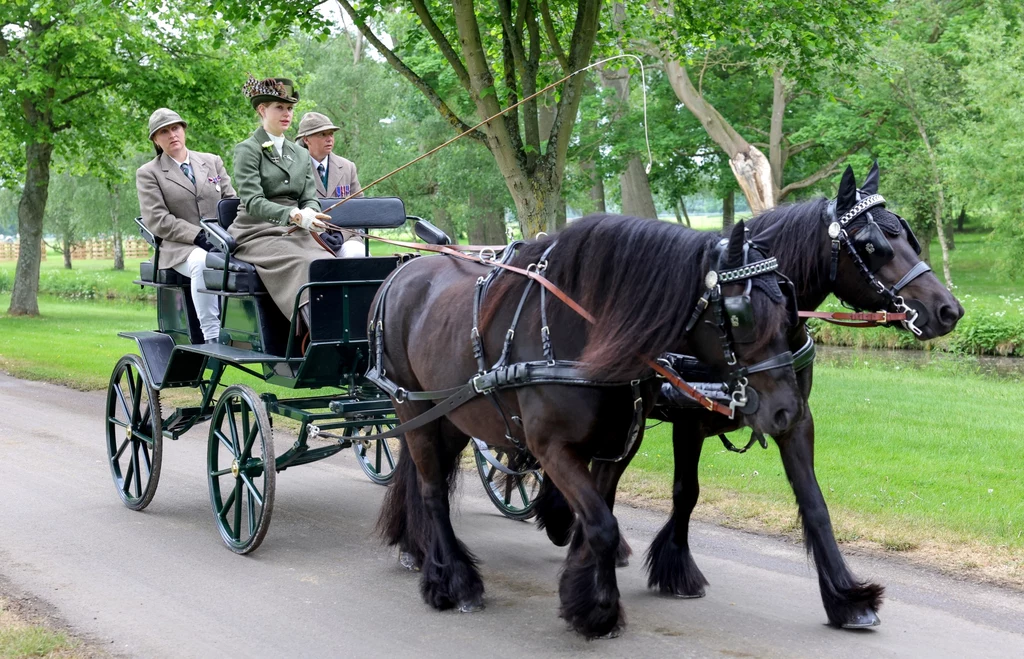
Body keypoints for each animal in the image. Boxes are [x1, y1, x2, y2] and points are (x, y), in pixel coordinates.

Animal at [376, 215, 806, 638]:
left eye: (787, 304)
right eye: (740, 315)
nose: (788, 410)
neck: (586, 336)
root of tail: (403, 271)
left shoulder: (616, 447)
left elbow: (596, 521)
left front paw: (583, 594)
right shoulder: (552, 448)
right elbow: (602, 526)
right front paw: (599, 610)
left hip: (451, 416)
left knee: (426, 477)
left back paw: (419, 552)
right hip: (410, 406)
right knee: (433, 492)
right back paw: (454, 582)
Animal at [536, 163, 966, 626]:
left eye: (907, 236)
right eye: (874, 246)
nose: (949, 310)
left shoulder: (795, 418)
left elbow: (815, 503)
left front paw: (846, 597)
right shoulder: (689, 420)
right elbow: (686, 492)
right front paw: (677, 570)